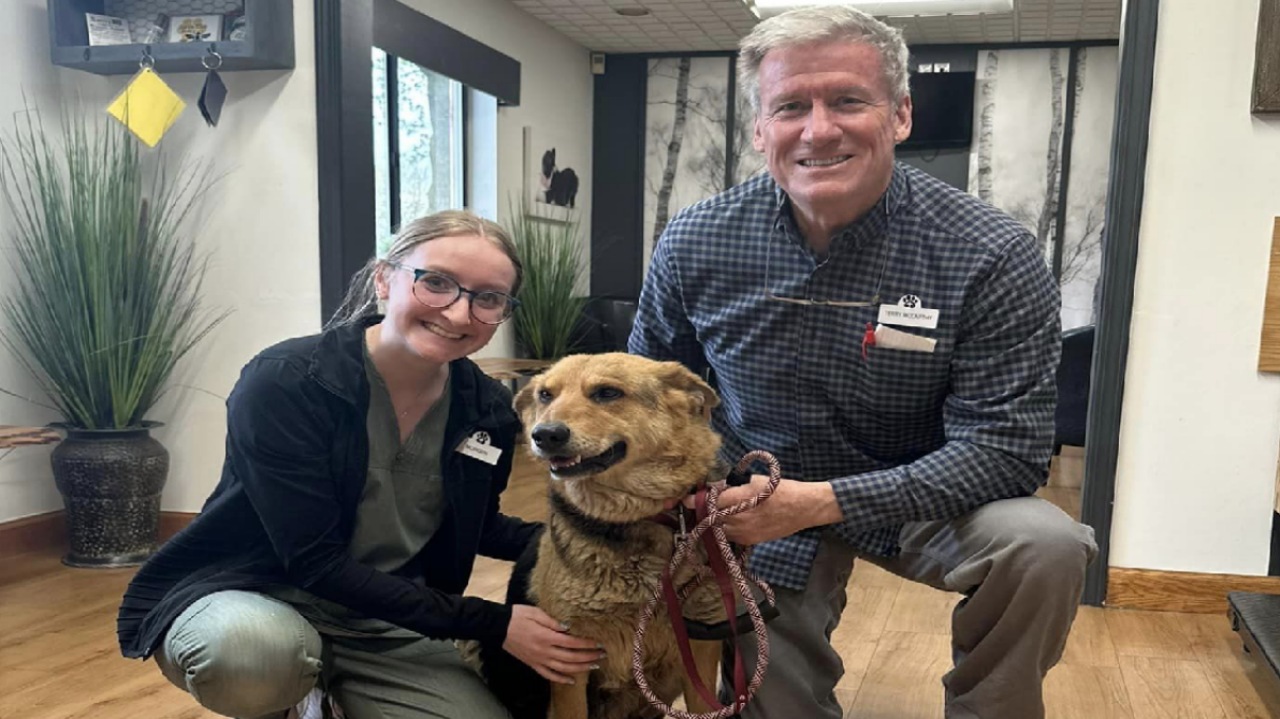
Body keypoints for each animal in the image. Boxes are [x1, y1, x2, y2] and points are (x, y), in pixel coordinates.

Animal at [473, 353, 737, 716]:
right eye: (545, 395)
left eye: (607, 393)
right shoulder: (569, 659)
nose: (544, 435)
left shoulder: (701, 648)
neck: (634, 515)